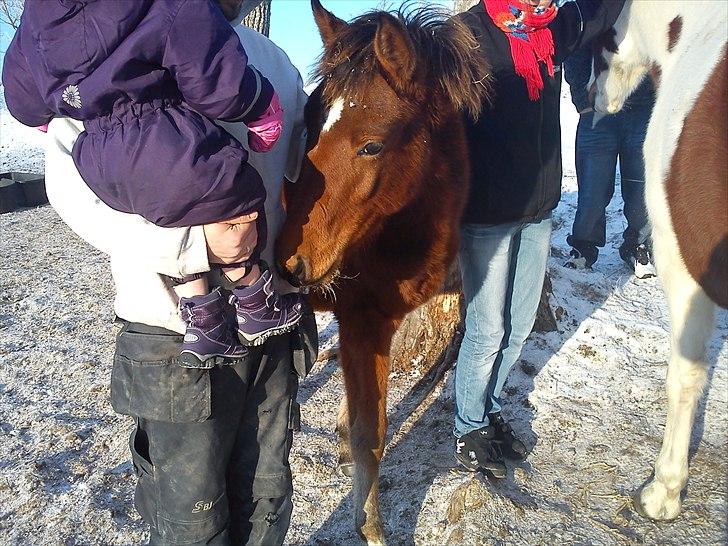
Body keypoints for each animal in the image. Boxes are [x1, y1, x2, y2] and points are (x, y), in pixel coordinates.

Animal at [276, 2, 492, 540]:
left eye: (371, 146)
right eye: (308, 126)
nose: (288, 262)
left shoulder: (381, 318)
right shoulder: (362, 319)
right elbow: (367, 433)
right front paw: (371, 526)